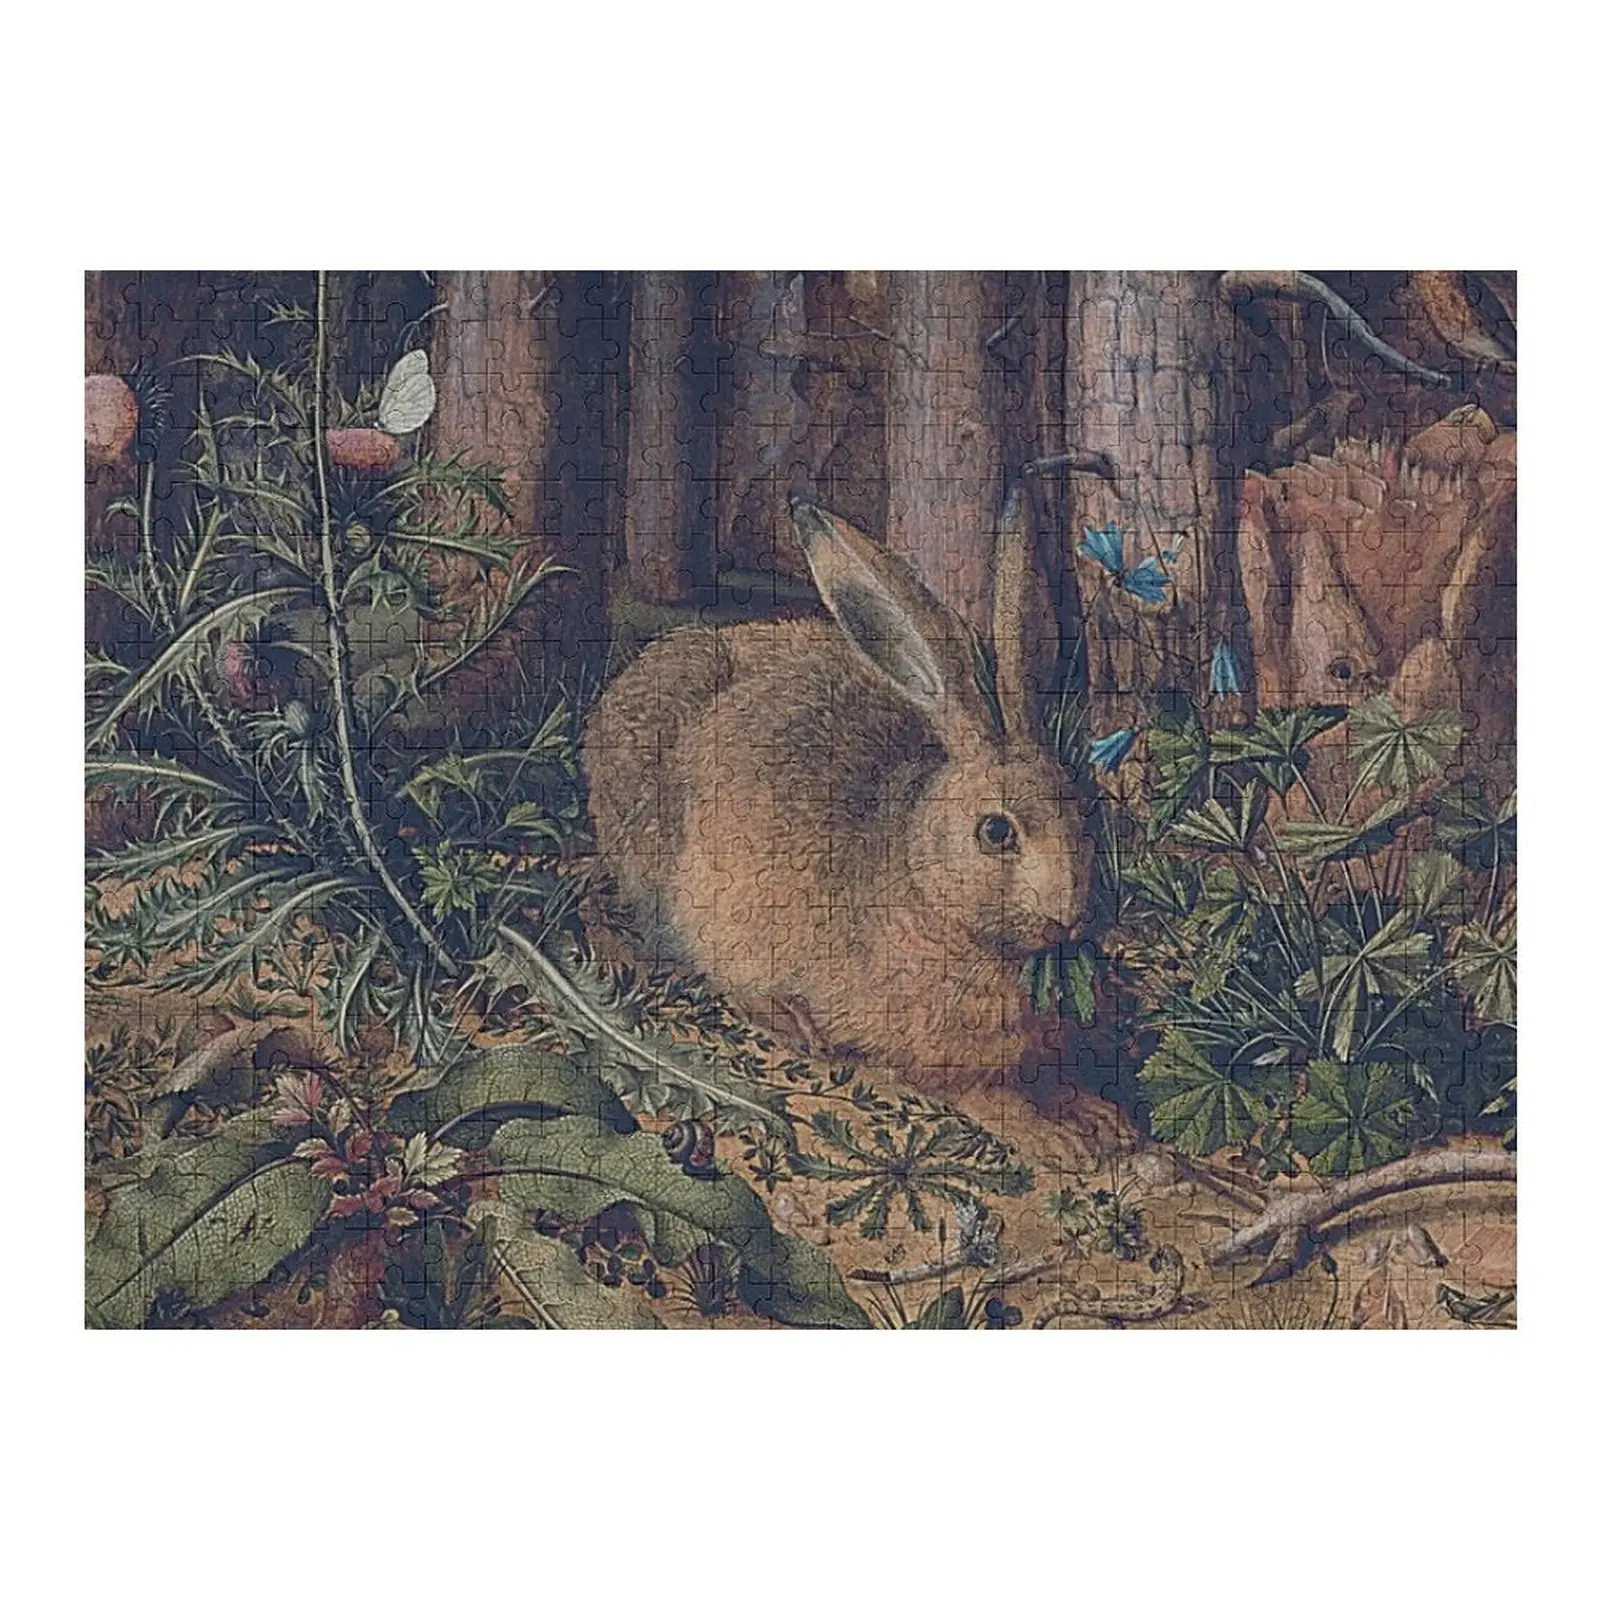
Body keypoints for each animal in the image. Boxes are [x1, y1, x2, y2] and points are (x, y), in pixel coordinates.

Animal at [583, 488, 1107, 1123]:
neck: (923, 886)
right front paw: (1062, 1135)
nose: (1071, 915)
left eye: (1080, 807)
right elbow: (992, 1098)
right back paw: (789, 1018)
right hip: (676, 871)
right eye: (996, 832)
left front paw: (1102, 1117)